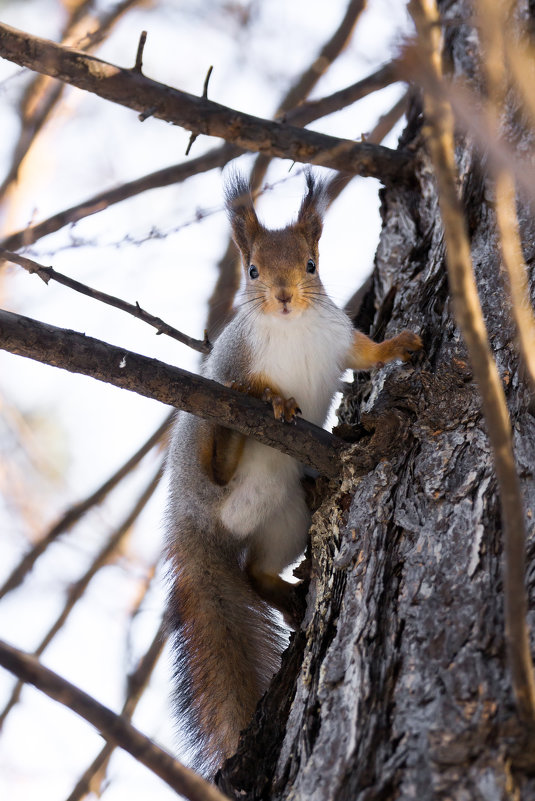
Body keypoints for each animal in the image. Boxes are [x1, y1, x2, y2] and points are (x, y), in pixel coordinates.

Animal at [164, 170, 422, 776]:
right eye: (253, 271)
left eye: (311, 265)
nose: (282, 296)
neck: (296, 325)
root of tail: (189, 522)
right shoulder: (234, 357)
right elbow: (254, 377)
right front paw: (274, 397)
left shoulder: (339, 339)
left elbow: (366, 355)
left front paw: (400, 343)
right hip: (207, 468)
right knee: (216, 469)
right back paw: (238, 430)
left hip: (282, 519)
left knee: (255, 571)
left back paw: (289, 590)